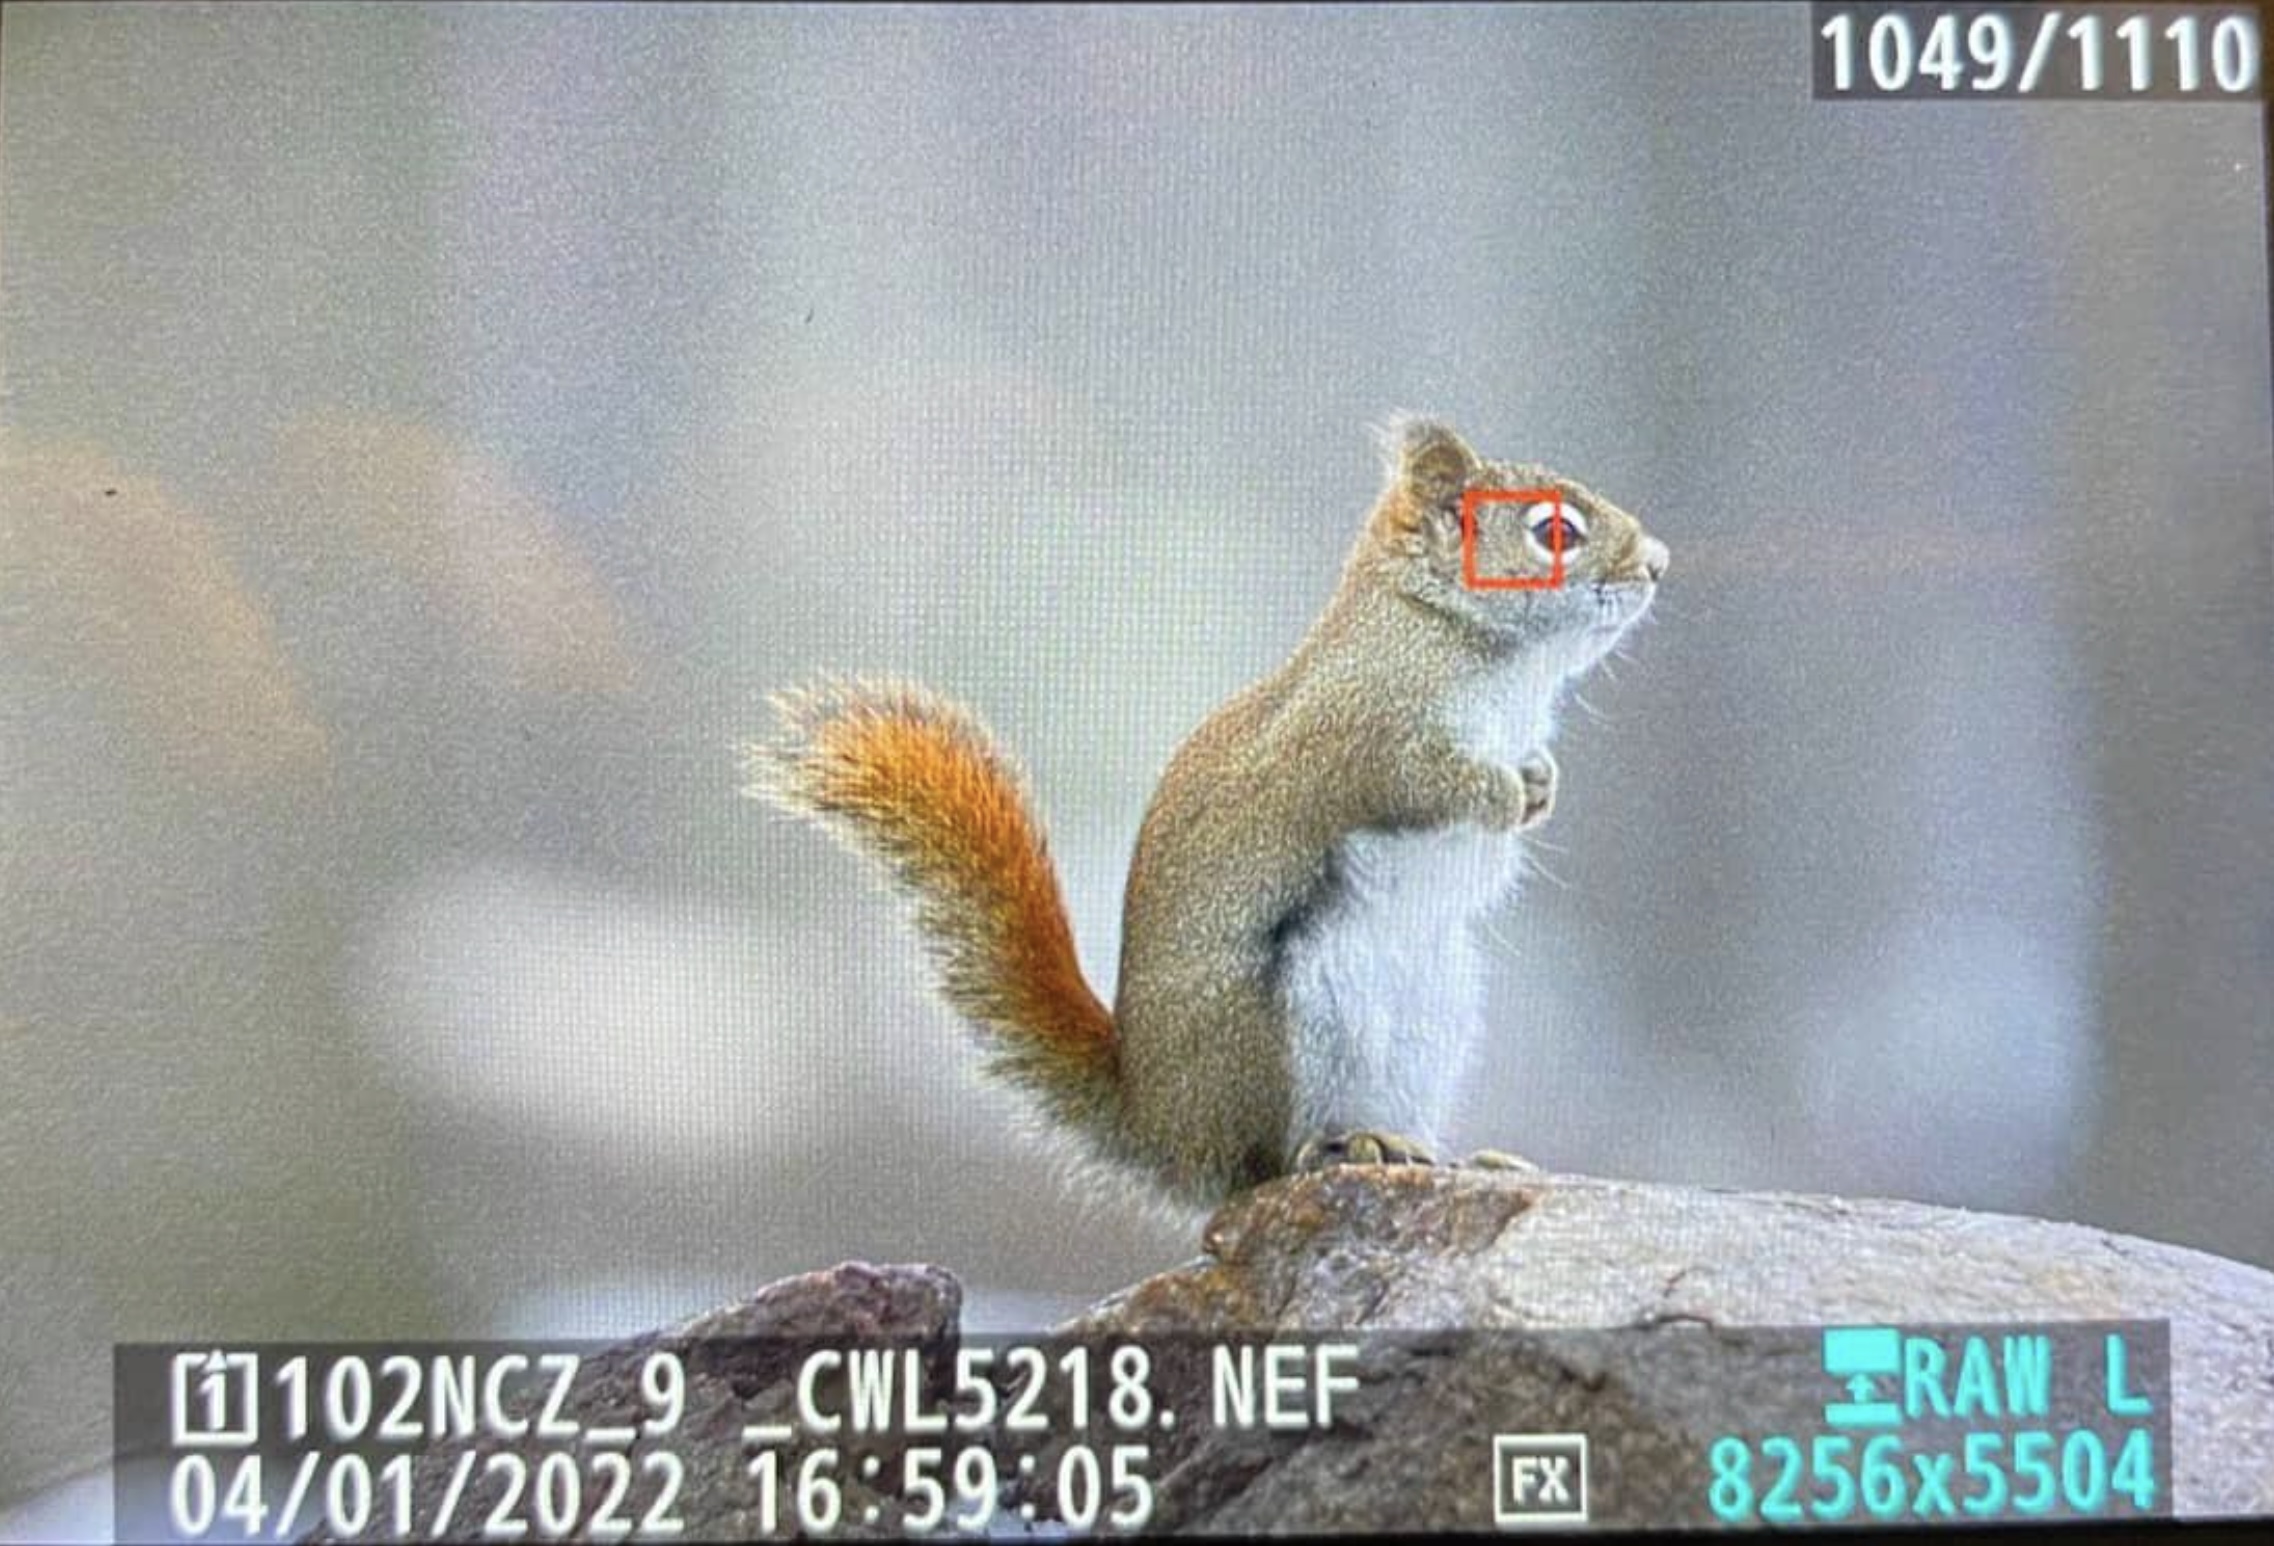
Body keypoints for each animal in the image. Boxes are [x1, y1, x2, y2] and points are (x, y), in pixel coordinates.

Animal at [746, 417, 1667, 1208]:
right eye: (1554, 533)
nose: (1658, 563)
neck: (1479, 652)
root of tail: (1164, 1132)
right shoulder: (1362, 737)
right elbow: (1421, 783)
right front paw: (1502, 793)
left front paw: (1541, 785)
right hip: (1283, 1027)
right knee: (1262, 1167)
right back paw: (1342, 1147)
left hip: (1432, 1018)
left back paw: (1446, 1155)